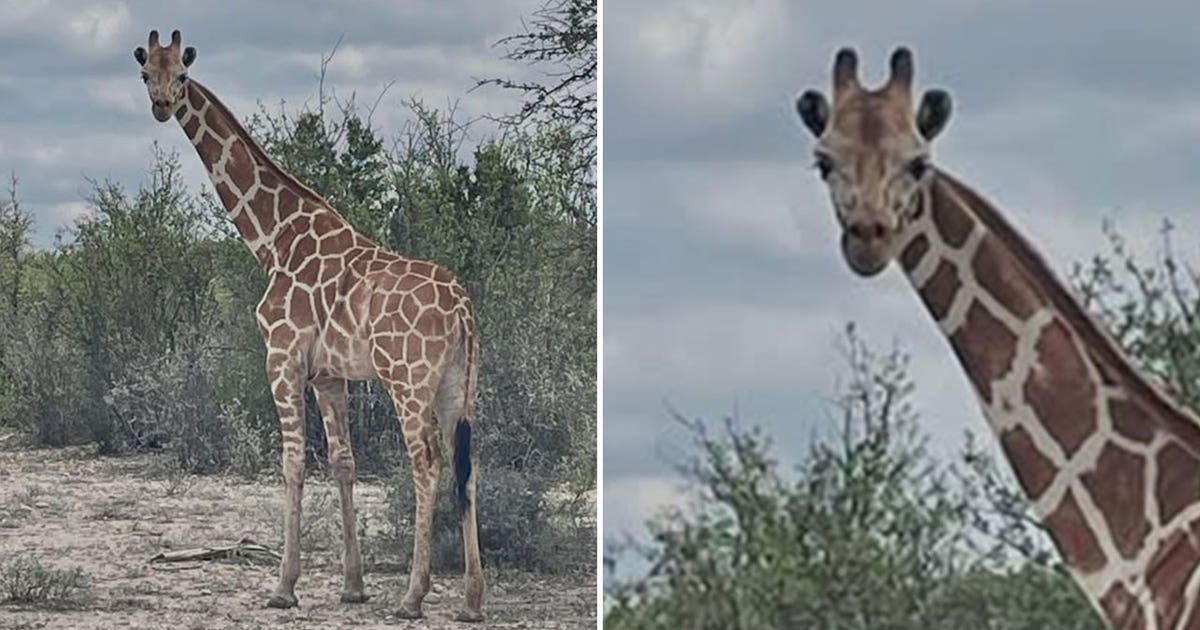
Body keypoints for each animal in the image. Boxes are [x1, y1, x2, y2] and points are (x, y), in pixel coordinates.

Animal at [133, 30, 485, 622]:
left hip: (408, 379)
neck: (273, 239)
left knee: (427, 464)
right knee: (468, 464)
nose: (160, 106)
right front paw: (353, 585)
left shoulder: (282, 356)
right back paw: (472, 601)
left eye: (181, 74)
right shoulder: (329, 373)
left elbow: (293, 462)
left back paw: (413, 596)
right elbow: (343, 462)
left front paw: (284, 586)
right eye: (145, 74)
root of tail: (462, 307)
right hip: (459, 384)